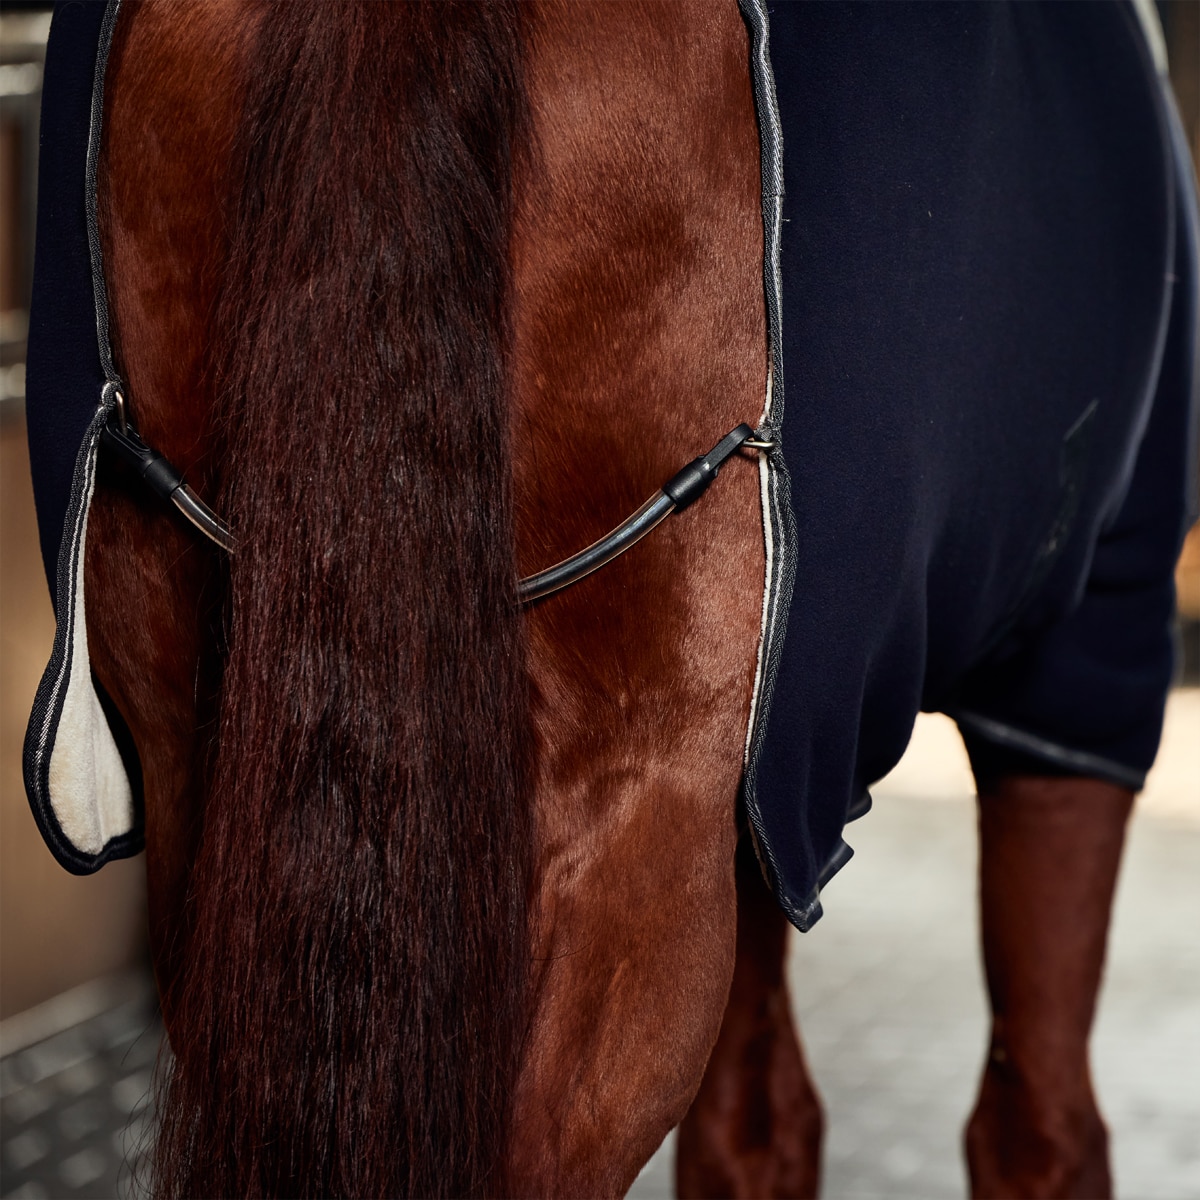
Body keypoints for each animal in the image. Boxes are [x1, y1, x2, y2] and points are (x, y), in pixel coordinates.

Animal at [22, 1, 1196, 1196]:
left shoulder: (764, 811)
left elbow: (755, 1128)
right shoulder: (1079, 671)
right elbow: (1040, 1130)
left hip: (203, 790)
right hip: (637, 844)